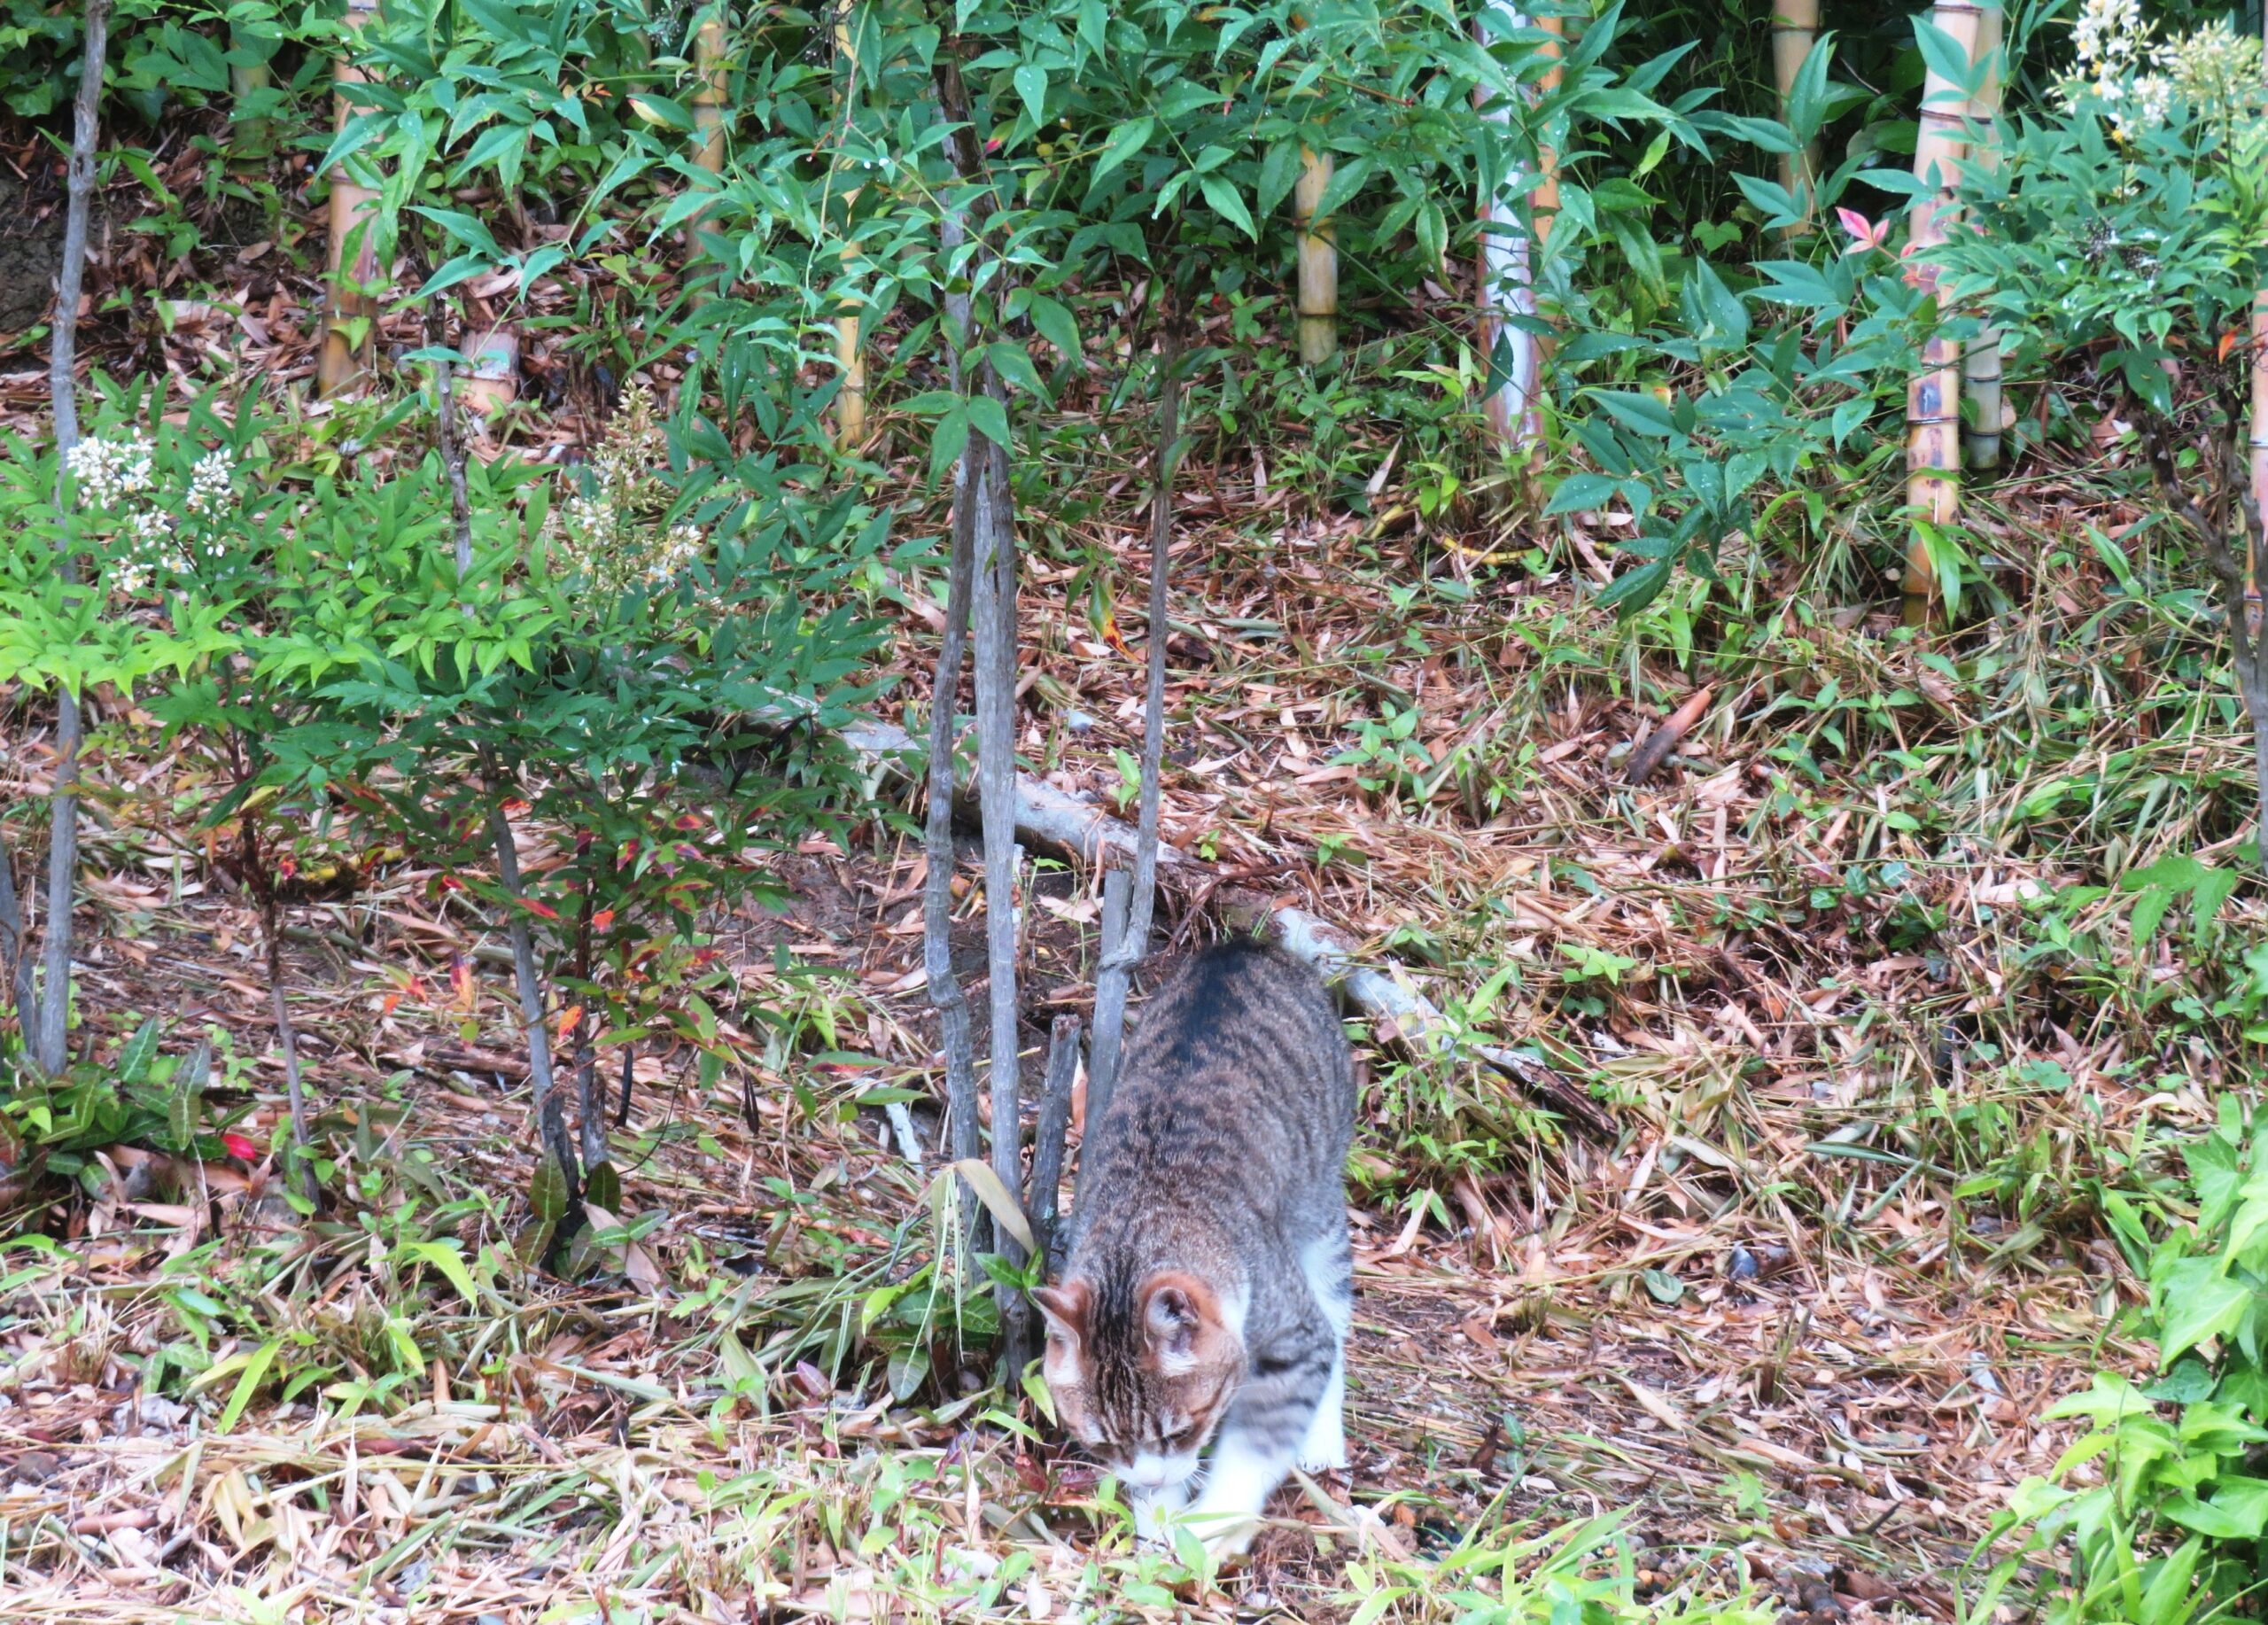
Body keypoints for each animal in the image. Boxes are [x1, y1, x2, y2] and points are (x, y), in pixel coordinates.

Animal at [1038, 944, 1351, 1552]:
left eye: (1183, 1430)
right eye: (1104, 1444)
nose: (1150, 1476)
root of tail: (1239, 948)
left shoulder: (1293, 1331)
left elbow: (1261, 1438)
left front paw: (1210, 1527)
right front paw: (1159, 1528)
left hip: (1321, 1198)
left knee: (1336, 1311)